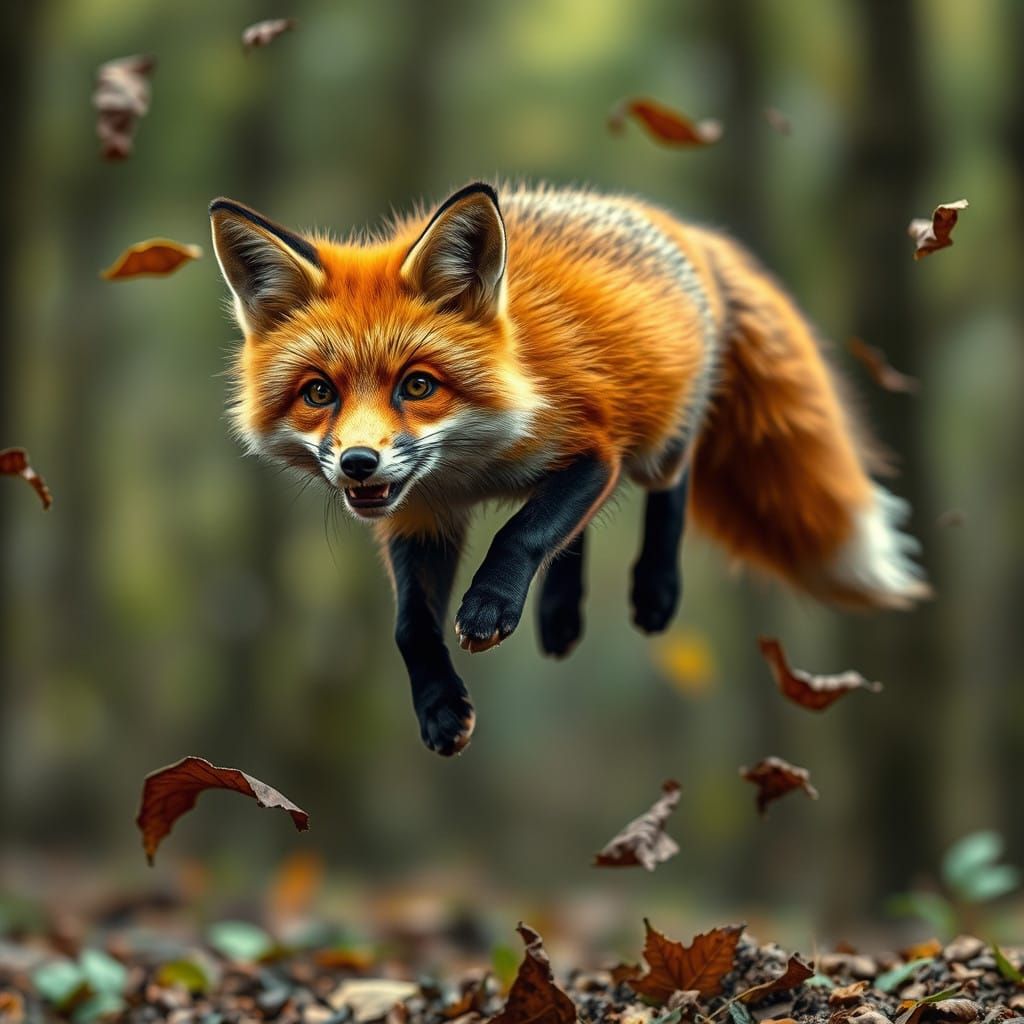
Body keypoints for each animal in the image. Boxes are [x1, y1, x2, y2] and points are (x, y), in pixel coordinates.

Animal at [209, 181, 930, 756]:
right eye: (318, 393)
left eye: (417, 386)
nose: (359, 463)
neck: (471, 467)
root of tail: (673, 222)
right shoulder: (421, 514)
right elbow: (411, 627)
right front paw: (441, 709)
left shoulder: (591, 451)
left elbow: (521, 533)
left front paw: (490, 604)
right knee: (573, 534)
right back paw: (558, 612)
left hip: (659, 441)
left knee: (668, 486)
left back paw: (654, 588)